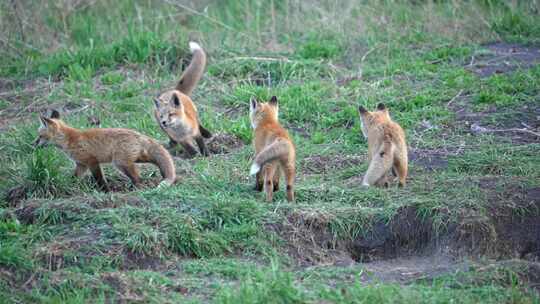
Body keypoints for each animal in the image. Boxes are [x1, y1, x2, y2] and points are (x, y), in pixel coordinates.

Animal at [33, 109, 176, 190]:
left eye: (39, 136)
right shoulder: (81, 164)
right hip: (138, 159)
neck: (70, 139)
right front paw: (69, 185)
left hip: (120, 163)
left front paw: (105, 190)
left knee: (137, 178)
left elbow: (100, 179)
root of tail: (139, 135)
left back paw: (138, 187)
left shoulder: (92, 161)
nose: (32, 144)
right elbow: (74, 177)